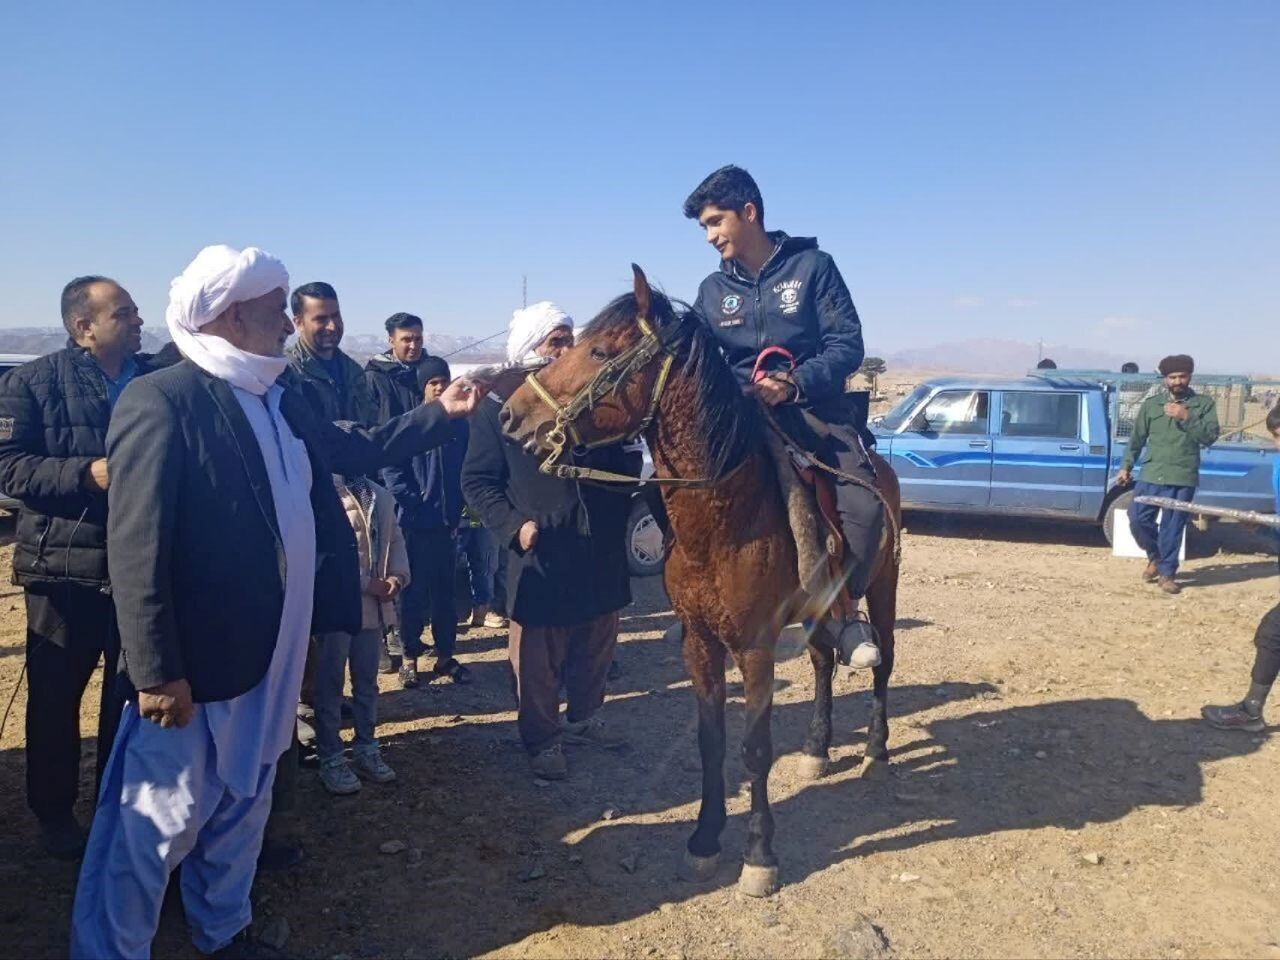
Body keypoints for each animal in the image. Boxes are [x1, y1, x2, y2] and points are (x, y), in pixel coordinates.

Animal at [494, 267, 906, 901]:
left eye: (599, 350)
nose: (510, 416)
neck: (724, 521)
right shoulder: (700, 641)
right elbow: (711, 742)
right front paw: (705, 841)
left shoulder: (755, 647)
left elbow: (755, 750)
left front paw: (759, 857)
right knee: (820, 662)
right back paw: (817, 748)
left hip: (883, 585)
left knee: (883, 660)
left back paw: (876, 750)